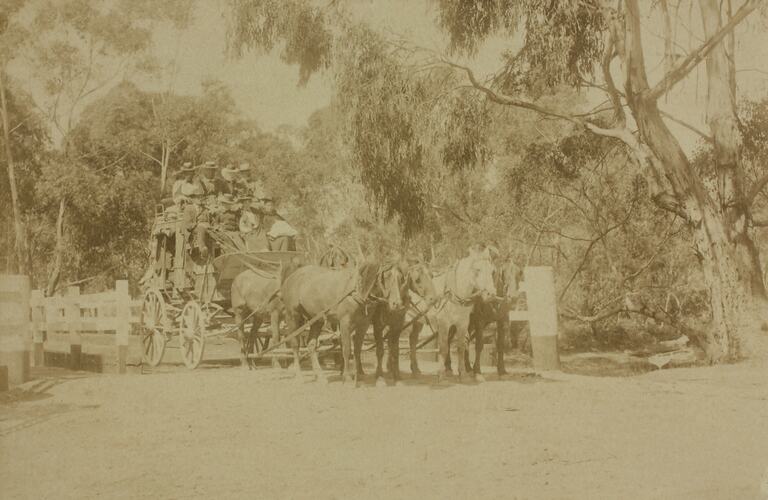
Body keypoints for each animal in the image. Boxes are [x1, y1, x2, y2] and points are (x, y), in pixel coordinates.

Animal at [368, 256, 436, 384]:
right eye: (417, 279)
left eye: (431, 275)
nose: (433, 298)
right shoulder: (378, 325)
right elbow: (380, 350)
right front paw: (379, 376)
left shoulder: (398, 325)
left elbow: (396, 349)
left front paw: (397, 375)